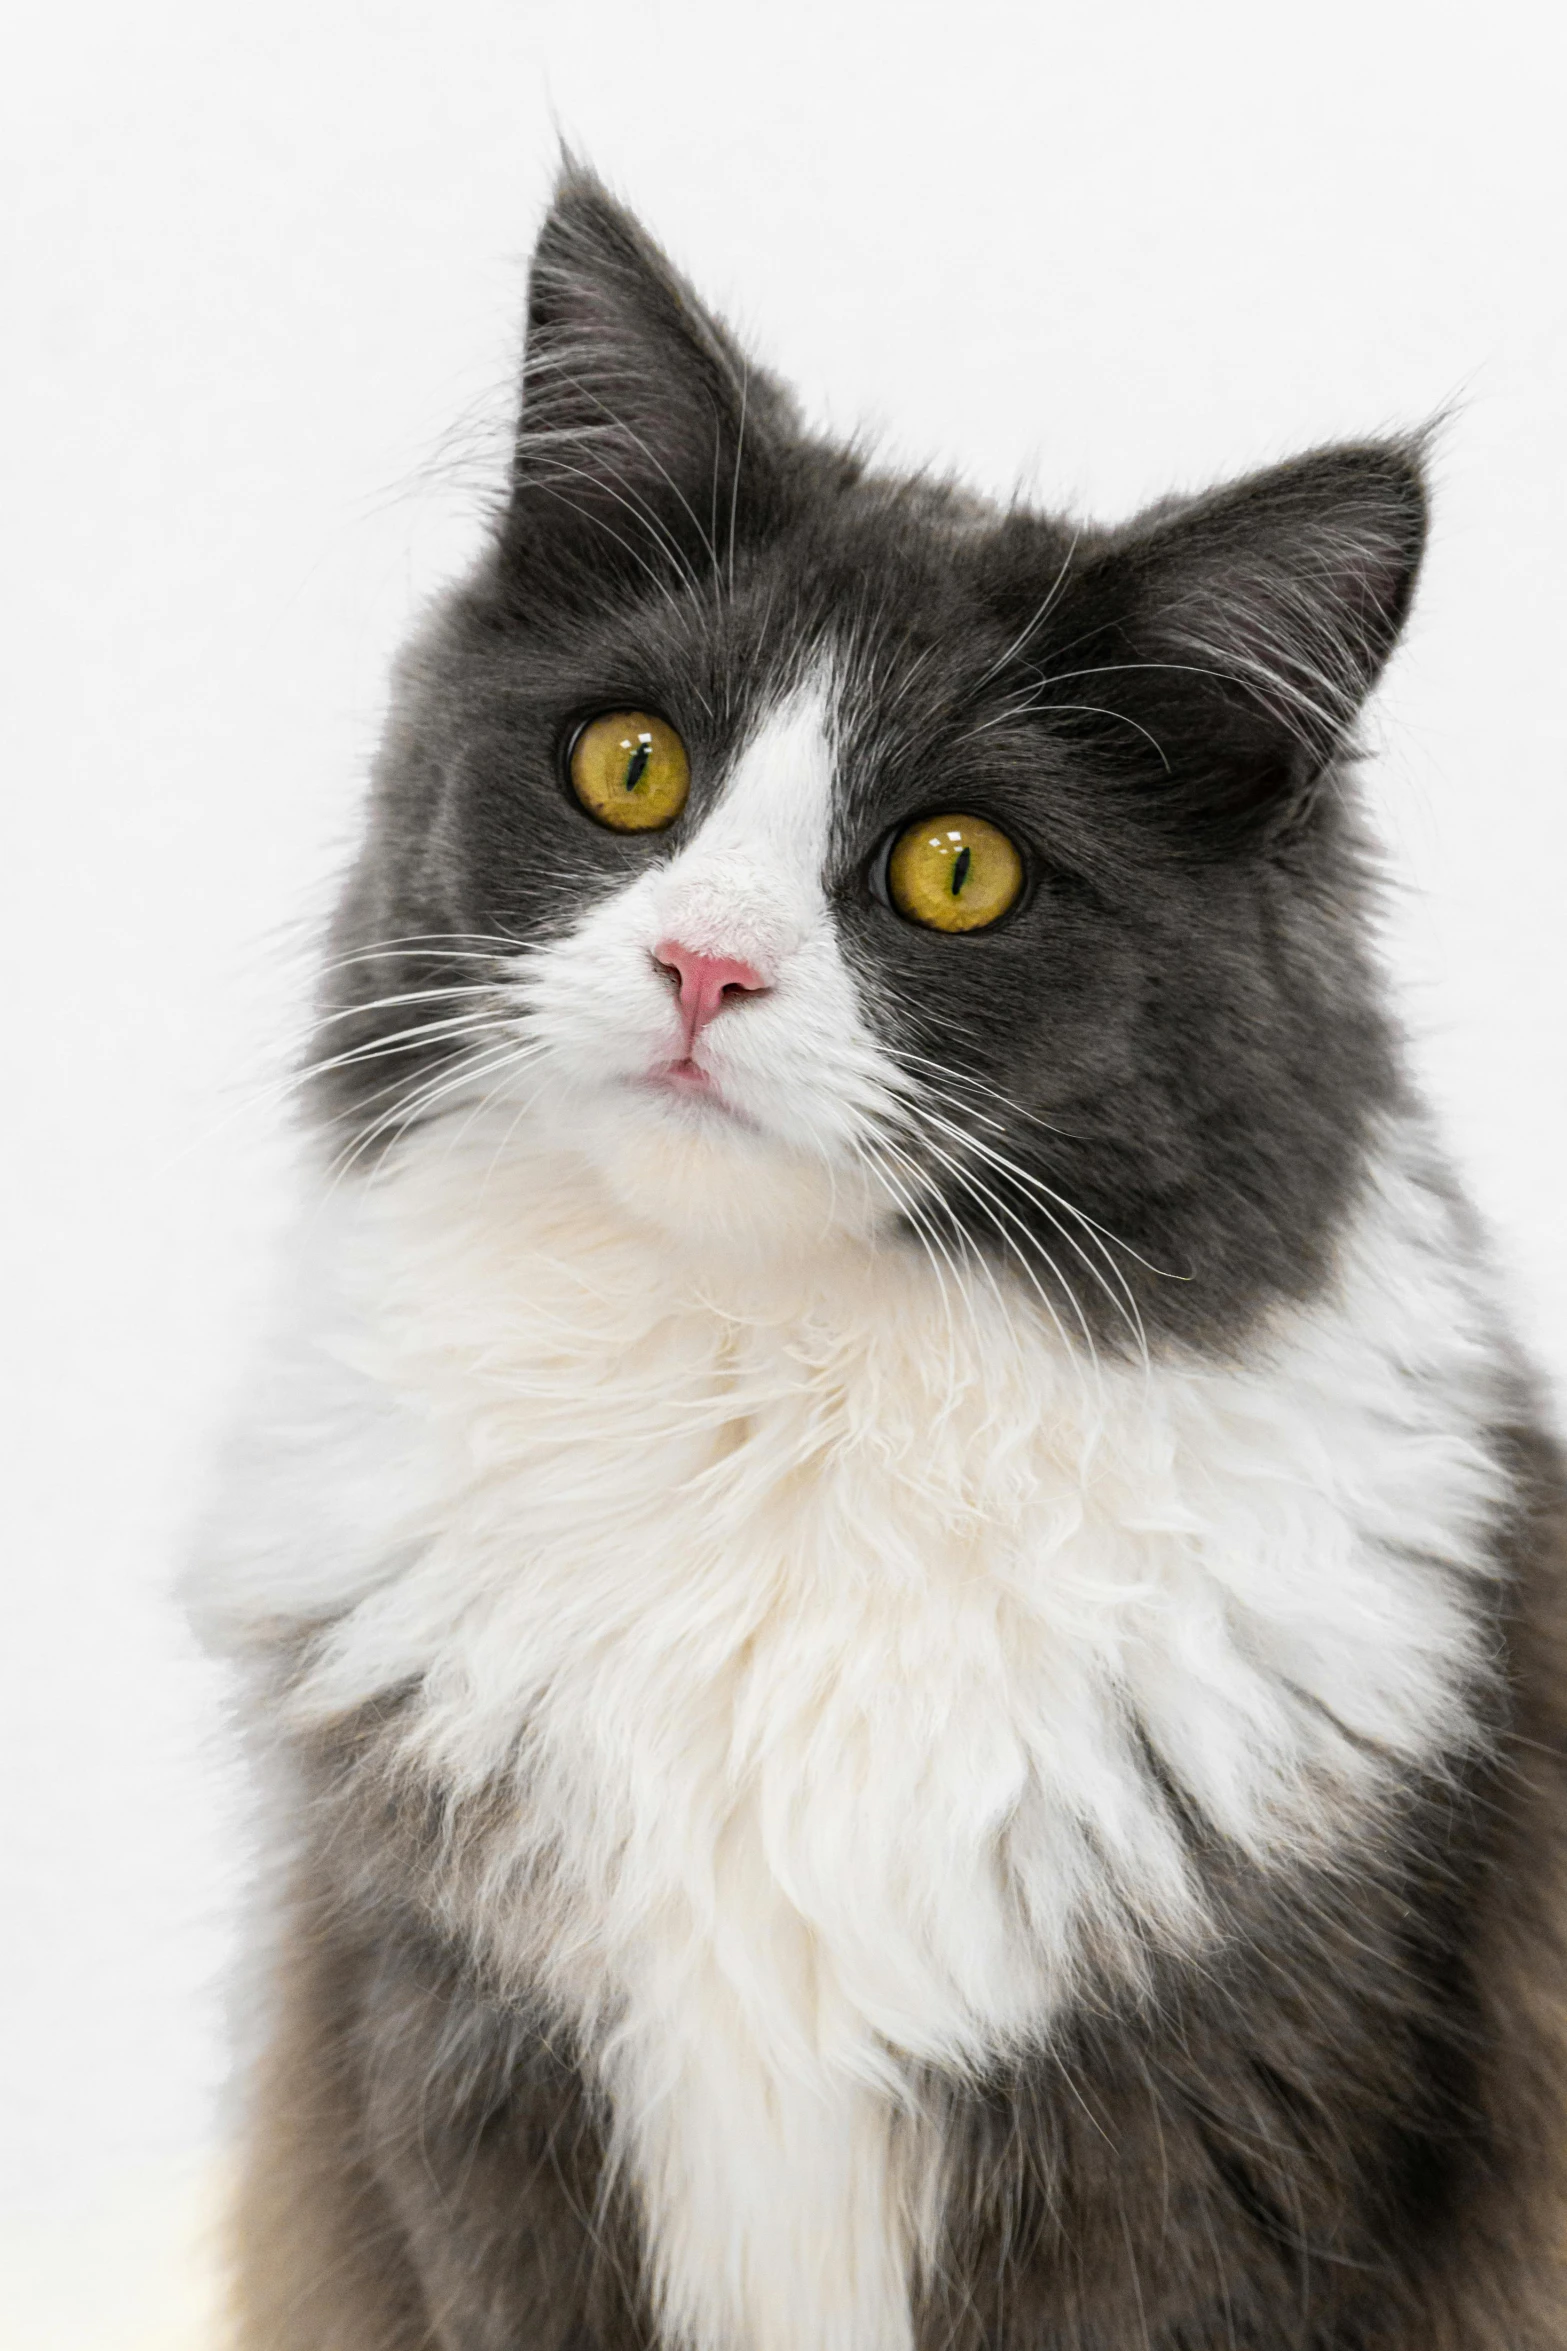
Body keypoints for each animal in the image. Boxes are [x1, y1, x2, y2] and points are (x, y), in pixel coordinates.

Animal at [190, 156, 1567, 2341]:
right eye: (632, 767)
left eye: (956, 869)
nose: (704, 964)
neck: (765, 1394)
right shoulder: (470, 2074)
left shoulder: (1205, 2127)